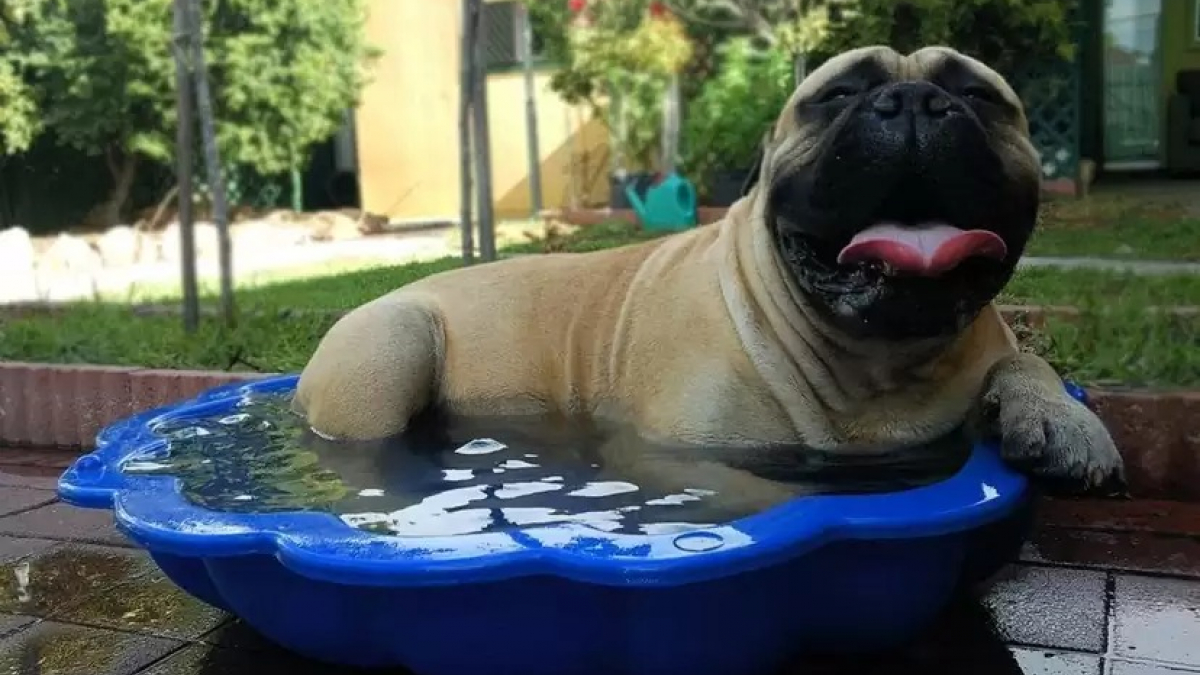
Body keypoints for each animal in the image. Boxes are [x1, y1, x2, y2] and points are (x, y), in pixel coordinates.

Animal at [292, 45, 1123, 504]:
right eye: (836, 95)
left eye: (982, 96)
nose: (916, 99)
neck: (877, 361)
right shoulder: (690, 459)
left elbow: (1027, 360)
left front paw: (1064, 420)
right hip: (393, 343)